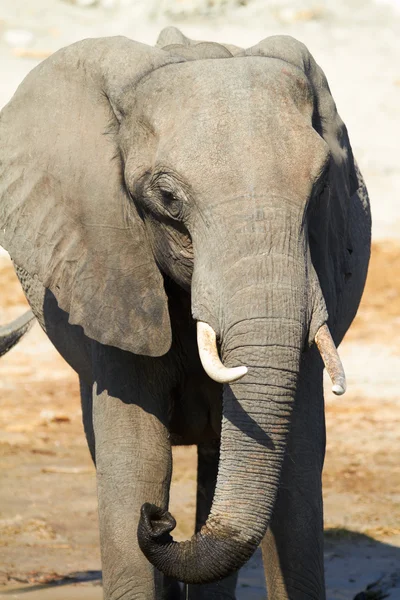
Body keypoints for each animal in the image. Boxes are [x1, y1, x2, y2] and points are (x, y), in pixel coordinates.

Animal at [0, 27, 372, 600]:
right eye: (168, 198)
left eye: (321, 189)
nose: (158, 521)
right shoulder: (111, 274)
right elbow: (137, 460)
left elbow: (297, 469)